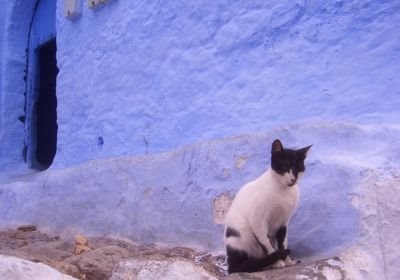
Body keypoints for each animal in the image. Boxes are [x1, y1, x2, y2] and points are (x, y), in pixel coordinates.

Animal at [223, 138, 310, 274]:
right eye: (285, 166)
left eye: (299, 168)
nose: (293, 178)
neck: (283, 191)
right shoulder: (258, 222)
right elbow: (267, 245)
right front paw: (278, 262)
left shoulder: (284, 221)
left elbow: (283, 242)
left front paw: (287, 261)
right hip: (239, 236)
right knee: (241, 267)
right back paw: (264, 265)